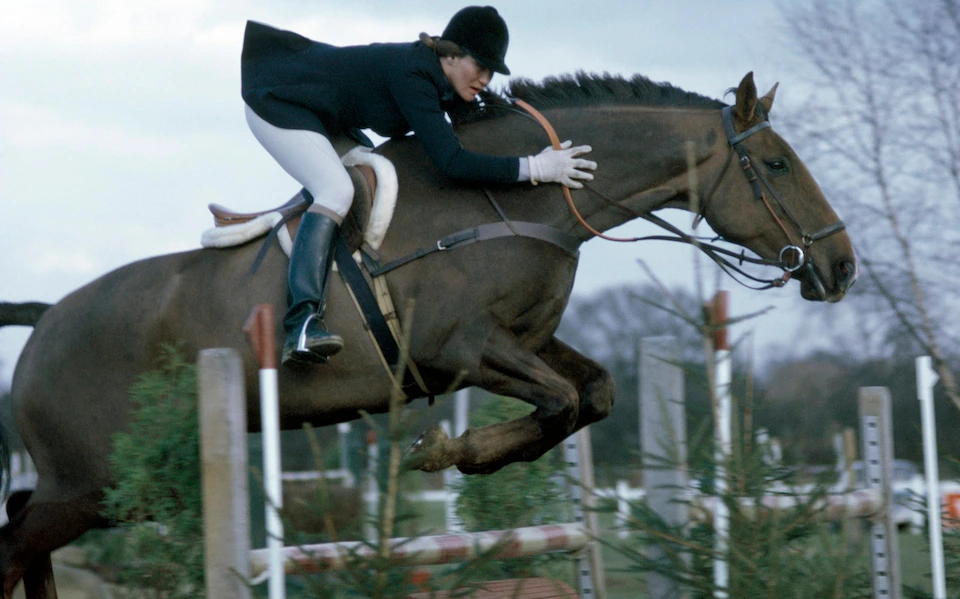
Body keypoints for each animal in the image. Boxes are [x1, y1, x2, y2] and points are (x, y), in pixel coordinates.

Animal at [0, 72, 856, 596]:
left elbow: (591, 396)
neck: (511, 196)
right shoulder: (463, 351)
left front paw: (456, 452)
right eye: (777, 164)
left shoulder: (524, 341)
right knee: (15, 540)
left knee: (23, 532)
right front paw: (446, 452)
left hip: (114, 488)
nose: (842, 266)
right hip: (95, 482)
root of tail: (45, 320)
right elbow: (558, 403)